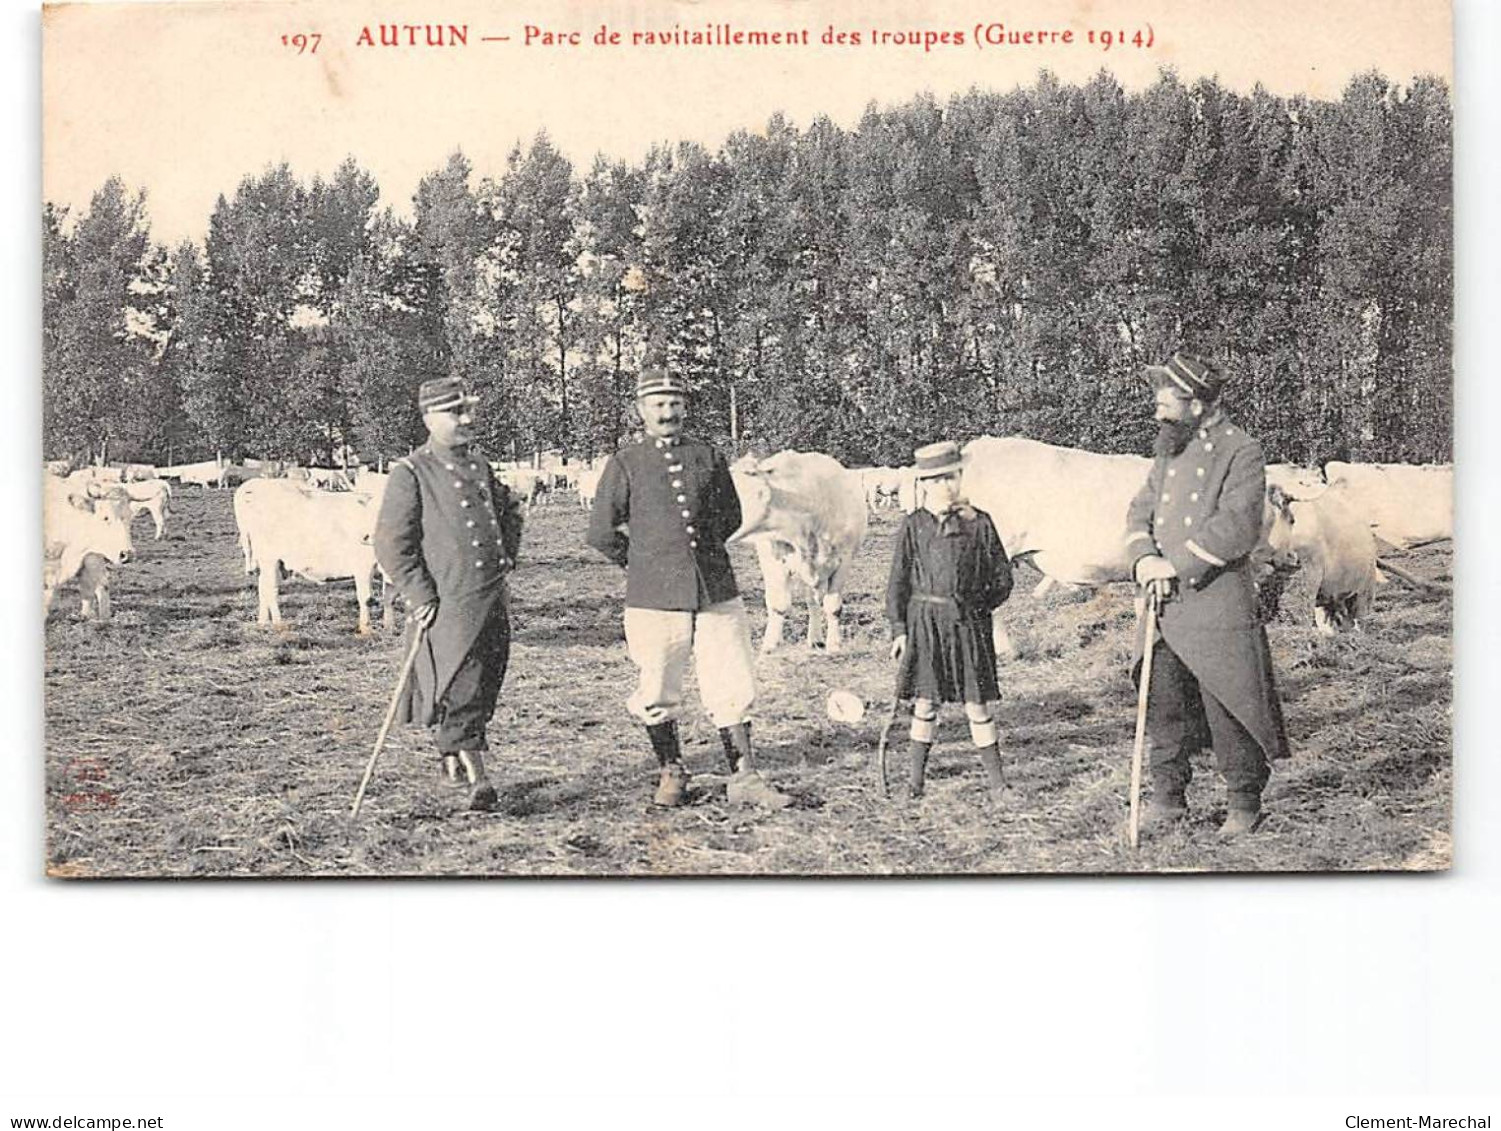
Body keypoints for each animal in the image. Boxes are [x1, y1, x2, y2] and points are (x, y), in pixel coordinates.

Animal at [232, 477, 384, 630]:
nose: (366, 537)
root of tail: (256, 483)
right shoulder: (364, 565)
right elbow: (366, 598)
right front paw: (366, 629)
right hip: (269, 558)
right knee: (270, 589)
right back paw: (278, 624)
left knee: (263, 587)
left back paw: (262, 622)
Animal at [726, 450, 870, 651]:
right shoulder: (773, 559)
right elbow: (778, 604)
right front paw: (770, 645)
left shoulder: (844, 559)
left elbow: (833, 606)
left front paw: (834, 644)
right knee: (811, 601)